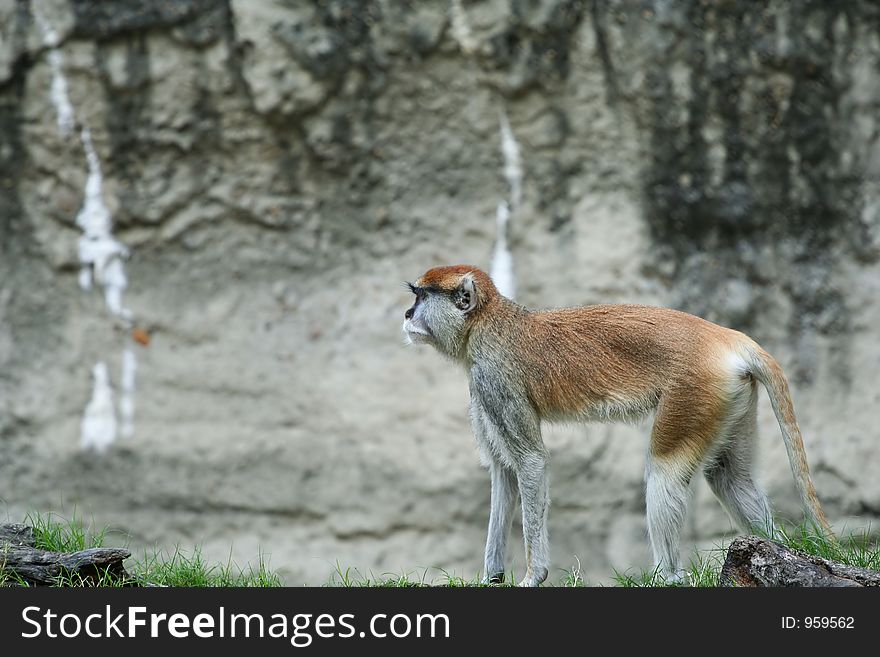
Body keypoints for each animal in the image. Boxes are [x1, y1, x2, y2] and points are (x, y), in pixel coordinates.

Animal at [402, 264, 836, 588]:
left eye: (421, 296)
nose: (407, 315)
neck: (487, 323)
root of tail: (726, 338)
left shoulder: (494, 378)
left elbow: (530, 462)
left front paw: (533, 576)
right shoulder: (483, 389)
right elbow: (503, 472)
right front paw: (492, 576)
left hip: (694, 392)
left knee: (664, 471)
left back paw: (668, 576)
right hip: (730, 396)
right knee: (729, 475)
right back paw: (775, 549)